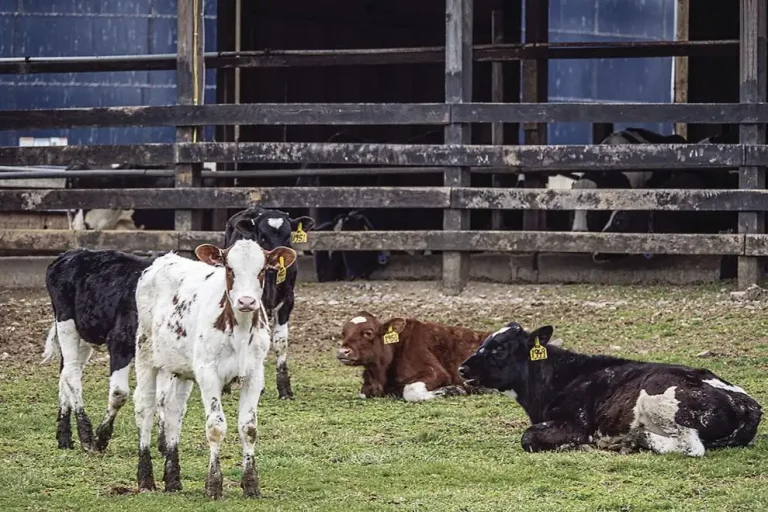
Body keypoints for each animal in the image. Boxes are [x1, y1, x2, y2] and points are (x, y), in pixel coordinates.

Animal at [42, 248, 153, 452]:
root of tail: (69, 254)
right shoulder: (120, 340)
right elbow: (119, 393)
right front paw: (100, 438)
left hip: (83, 332)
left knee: (66, 370)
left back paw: (64, 437)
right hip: (65, 320)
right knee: (71, 374)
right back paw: (85, 435)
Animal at [133, 239, 297, 498]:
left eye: (262, 270)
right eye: (230, 269)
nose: (247, 301)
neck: (239, 330)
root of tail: (164, 259)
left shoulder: (254, 375)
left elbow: (249, 428)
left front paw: (251, 484)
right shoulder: (208, 373)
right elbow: (215, 426)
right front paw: (213, 484)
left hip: (179, 369)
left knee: (173, 412)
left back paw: (173, 480)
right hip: (145, 352)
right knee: (145, 409)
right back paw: (146, 479)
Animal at [223, 207, 315, 399]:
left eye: (288, 237)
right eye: (263, 237)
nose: (277, 261)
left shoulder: (287, 302)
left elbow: (280, 343)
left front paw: (284, 389)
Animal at [458, 322, 762, 456]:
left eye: (498, 349)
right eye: (483, 342)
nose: (463, 369)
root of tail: (749, 404)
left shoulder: (573, 424)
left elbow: (529, 437)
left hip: (660, 398)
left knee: (689, 446)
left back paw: (630, 441)